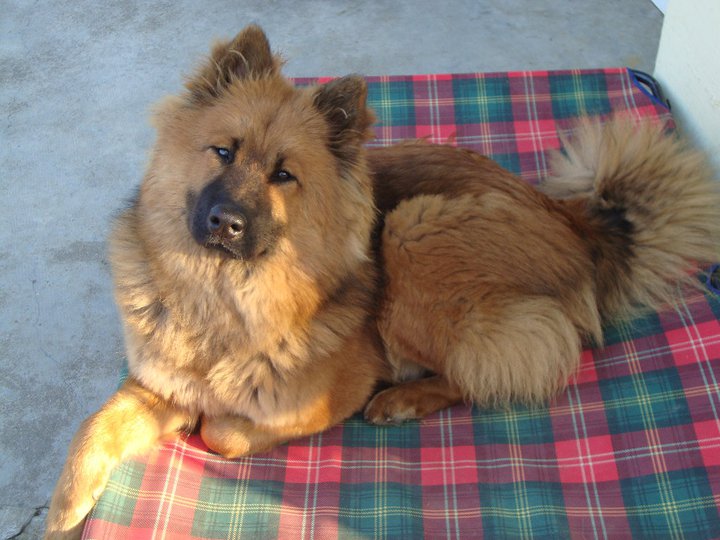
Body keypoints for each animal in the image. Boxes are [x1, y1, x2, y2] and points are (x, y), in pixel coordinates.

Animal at [46, 25, 720, 538]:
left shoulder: (319, 399)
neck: (223, 297)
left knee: (490, 370)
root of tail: (574, 220)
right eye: (222, 152)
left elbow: (223, 431)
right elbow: (94, 425)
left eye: (284, 174)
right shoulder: (156, 382)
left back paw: (402, 399)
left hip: (412, 229)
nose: (226, 222)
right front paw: (66, 510)